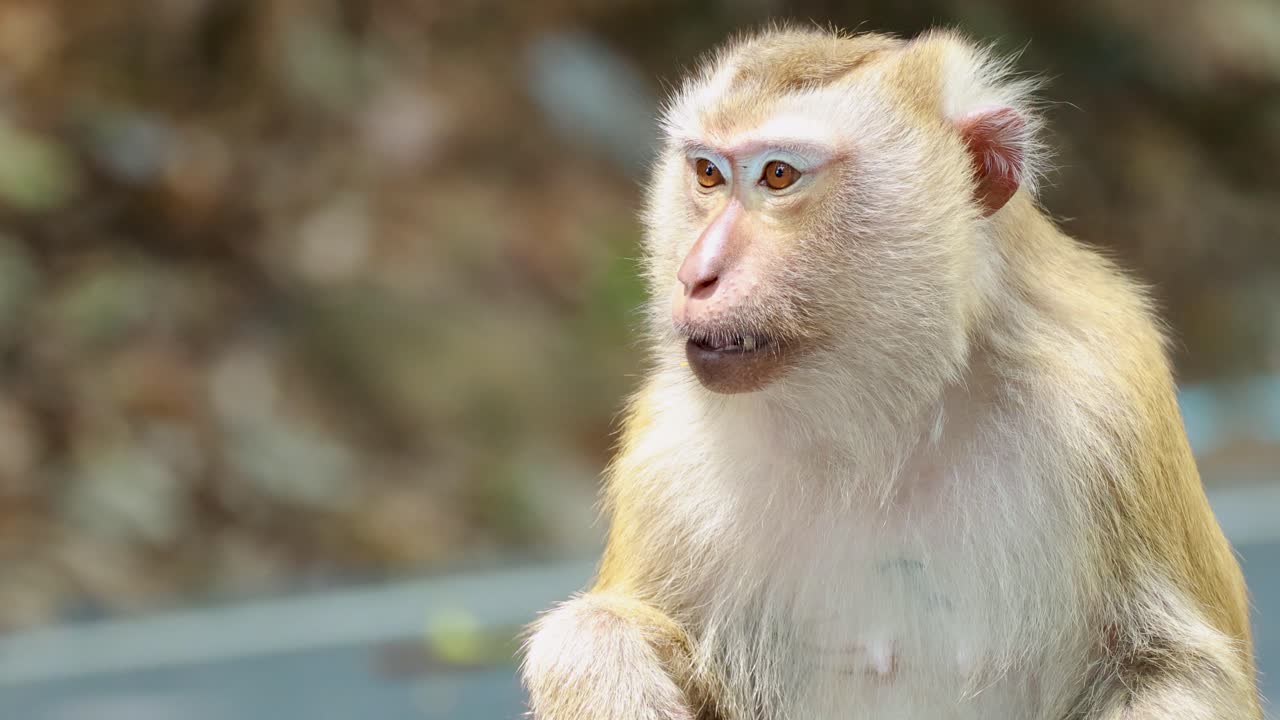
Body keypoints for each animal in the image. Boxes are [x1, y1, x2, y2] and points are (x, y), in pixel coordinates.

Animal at [520, 26, 1260, 720]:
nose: (696, 273)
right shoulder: (667, 460)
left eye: (779, 176)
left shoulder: (1107, 404)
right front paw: (603, 654)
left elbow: (1177, 670)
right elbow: (597, 632)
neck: (884, 426)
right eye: (707, 174)